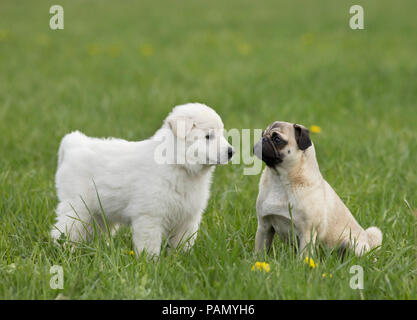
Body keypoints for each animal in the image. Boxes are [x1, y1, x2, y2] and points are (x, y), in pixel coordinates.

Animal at [51, 104, 234, 256]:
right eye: (208, 136)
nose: (231, 151)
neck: (178, 165)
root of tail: (74, 143)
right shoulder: (149, 216)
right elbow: (149, 245)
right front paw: (150, 264)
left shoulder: (188, 218)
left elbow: (183, 243)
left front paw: (181, 259)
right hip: (77, 206)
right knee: (63, 230)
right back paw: (62, 250)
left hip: (100, 213)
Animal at [252, 121, 382, 256]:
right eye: (262, 134)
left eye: (277, 139)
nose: (262, 139)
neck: (279, 179)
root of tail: (367, 239)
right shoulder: (264, 227)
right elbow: (259, 250)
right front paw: (257, 260)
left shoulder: (307, 232)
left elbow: (304, 256)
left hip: (352, 244)